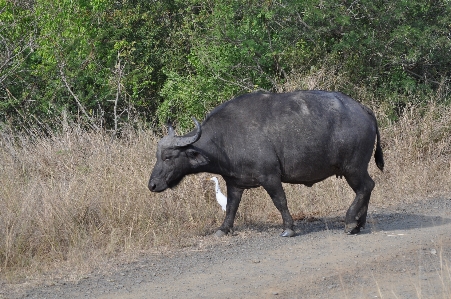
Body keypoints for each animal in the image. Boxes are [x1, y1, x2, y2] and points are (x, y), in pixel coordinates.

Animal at [148, 90, 384, 238]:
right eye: (157, 156)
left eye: (168, 157)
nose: (152, 184)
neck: (225, 138)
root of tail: (363, 109)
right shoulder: (234, 183)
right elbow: (231, 207)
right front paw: (223, 229)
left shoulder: (270, 177)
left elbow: (280, 201)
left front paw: (288, 228)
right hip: (355, 169)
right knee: (367, 188)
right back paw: (359, 223)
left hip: (352, 167)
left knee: (366, 187)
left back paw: (350, 222)